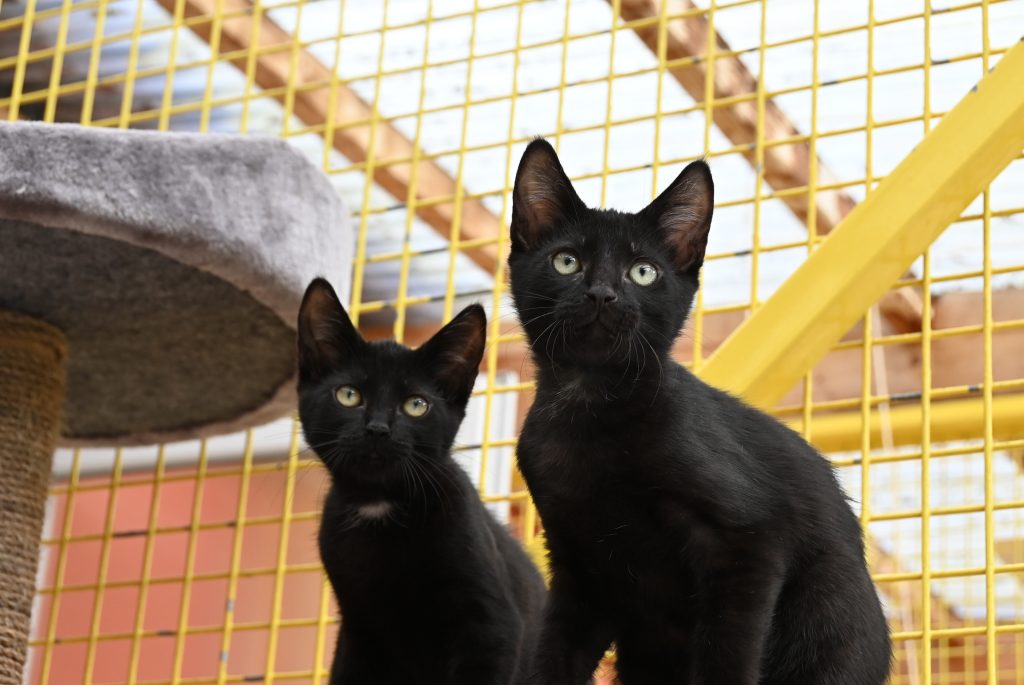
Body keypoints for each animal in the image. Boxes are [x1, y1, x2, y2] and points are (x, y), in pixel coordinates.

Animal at [297, 278, 547, 685]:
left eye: (416, 405)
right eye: (349, 395)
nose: (378, 429)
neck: (380, 505)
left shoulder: (493, 628)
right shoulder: (359, 633)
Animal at [507, 139, 892, 685]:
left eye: (643, 272)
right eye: (566, 262)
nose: (602, 293)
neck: (588, 408)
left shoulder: (749, 543)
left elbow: (726, 656)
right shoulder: (579, 571)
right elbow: (552, 657)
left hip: (827, 615)